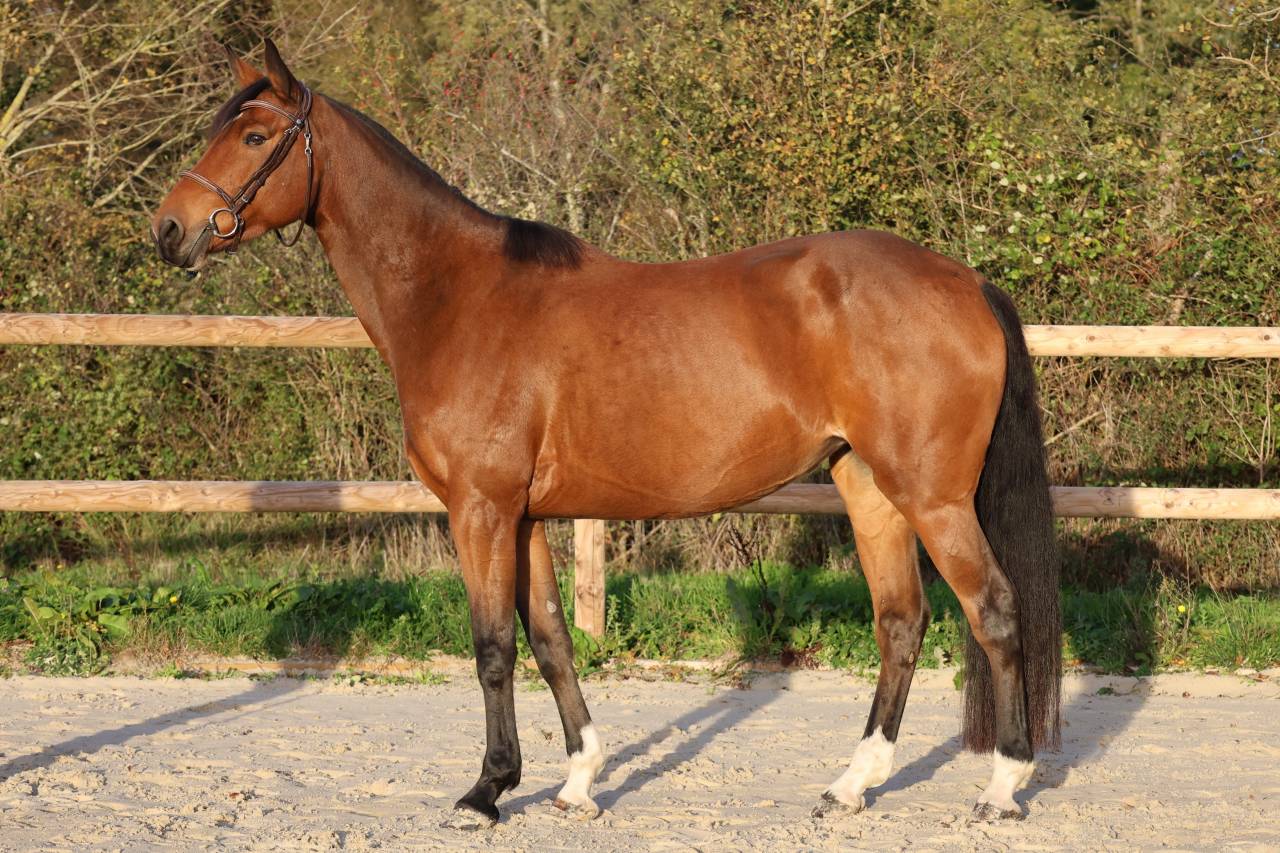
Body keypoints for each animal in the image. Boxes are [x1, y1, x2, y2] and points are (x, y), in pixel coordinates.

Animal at [152, 40, 1061, 828]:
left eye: (256, 135)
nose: (168, 230)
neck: (457, 297)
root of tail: (967, 282)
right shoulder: (523, 517)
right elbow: (552, 639)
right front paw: (577, 780)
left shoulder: (480, 509)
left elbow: (492, 645)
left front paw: (486, 791)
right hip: (868, 486)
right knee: (901, 621)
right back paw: (850, 783)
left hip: (933, 497)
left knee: (993, 609)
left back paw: (1003, 785)